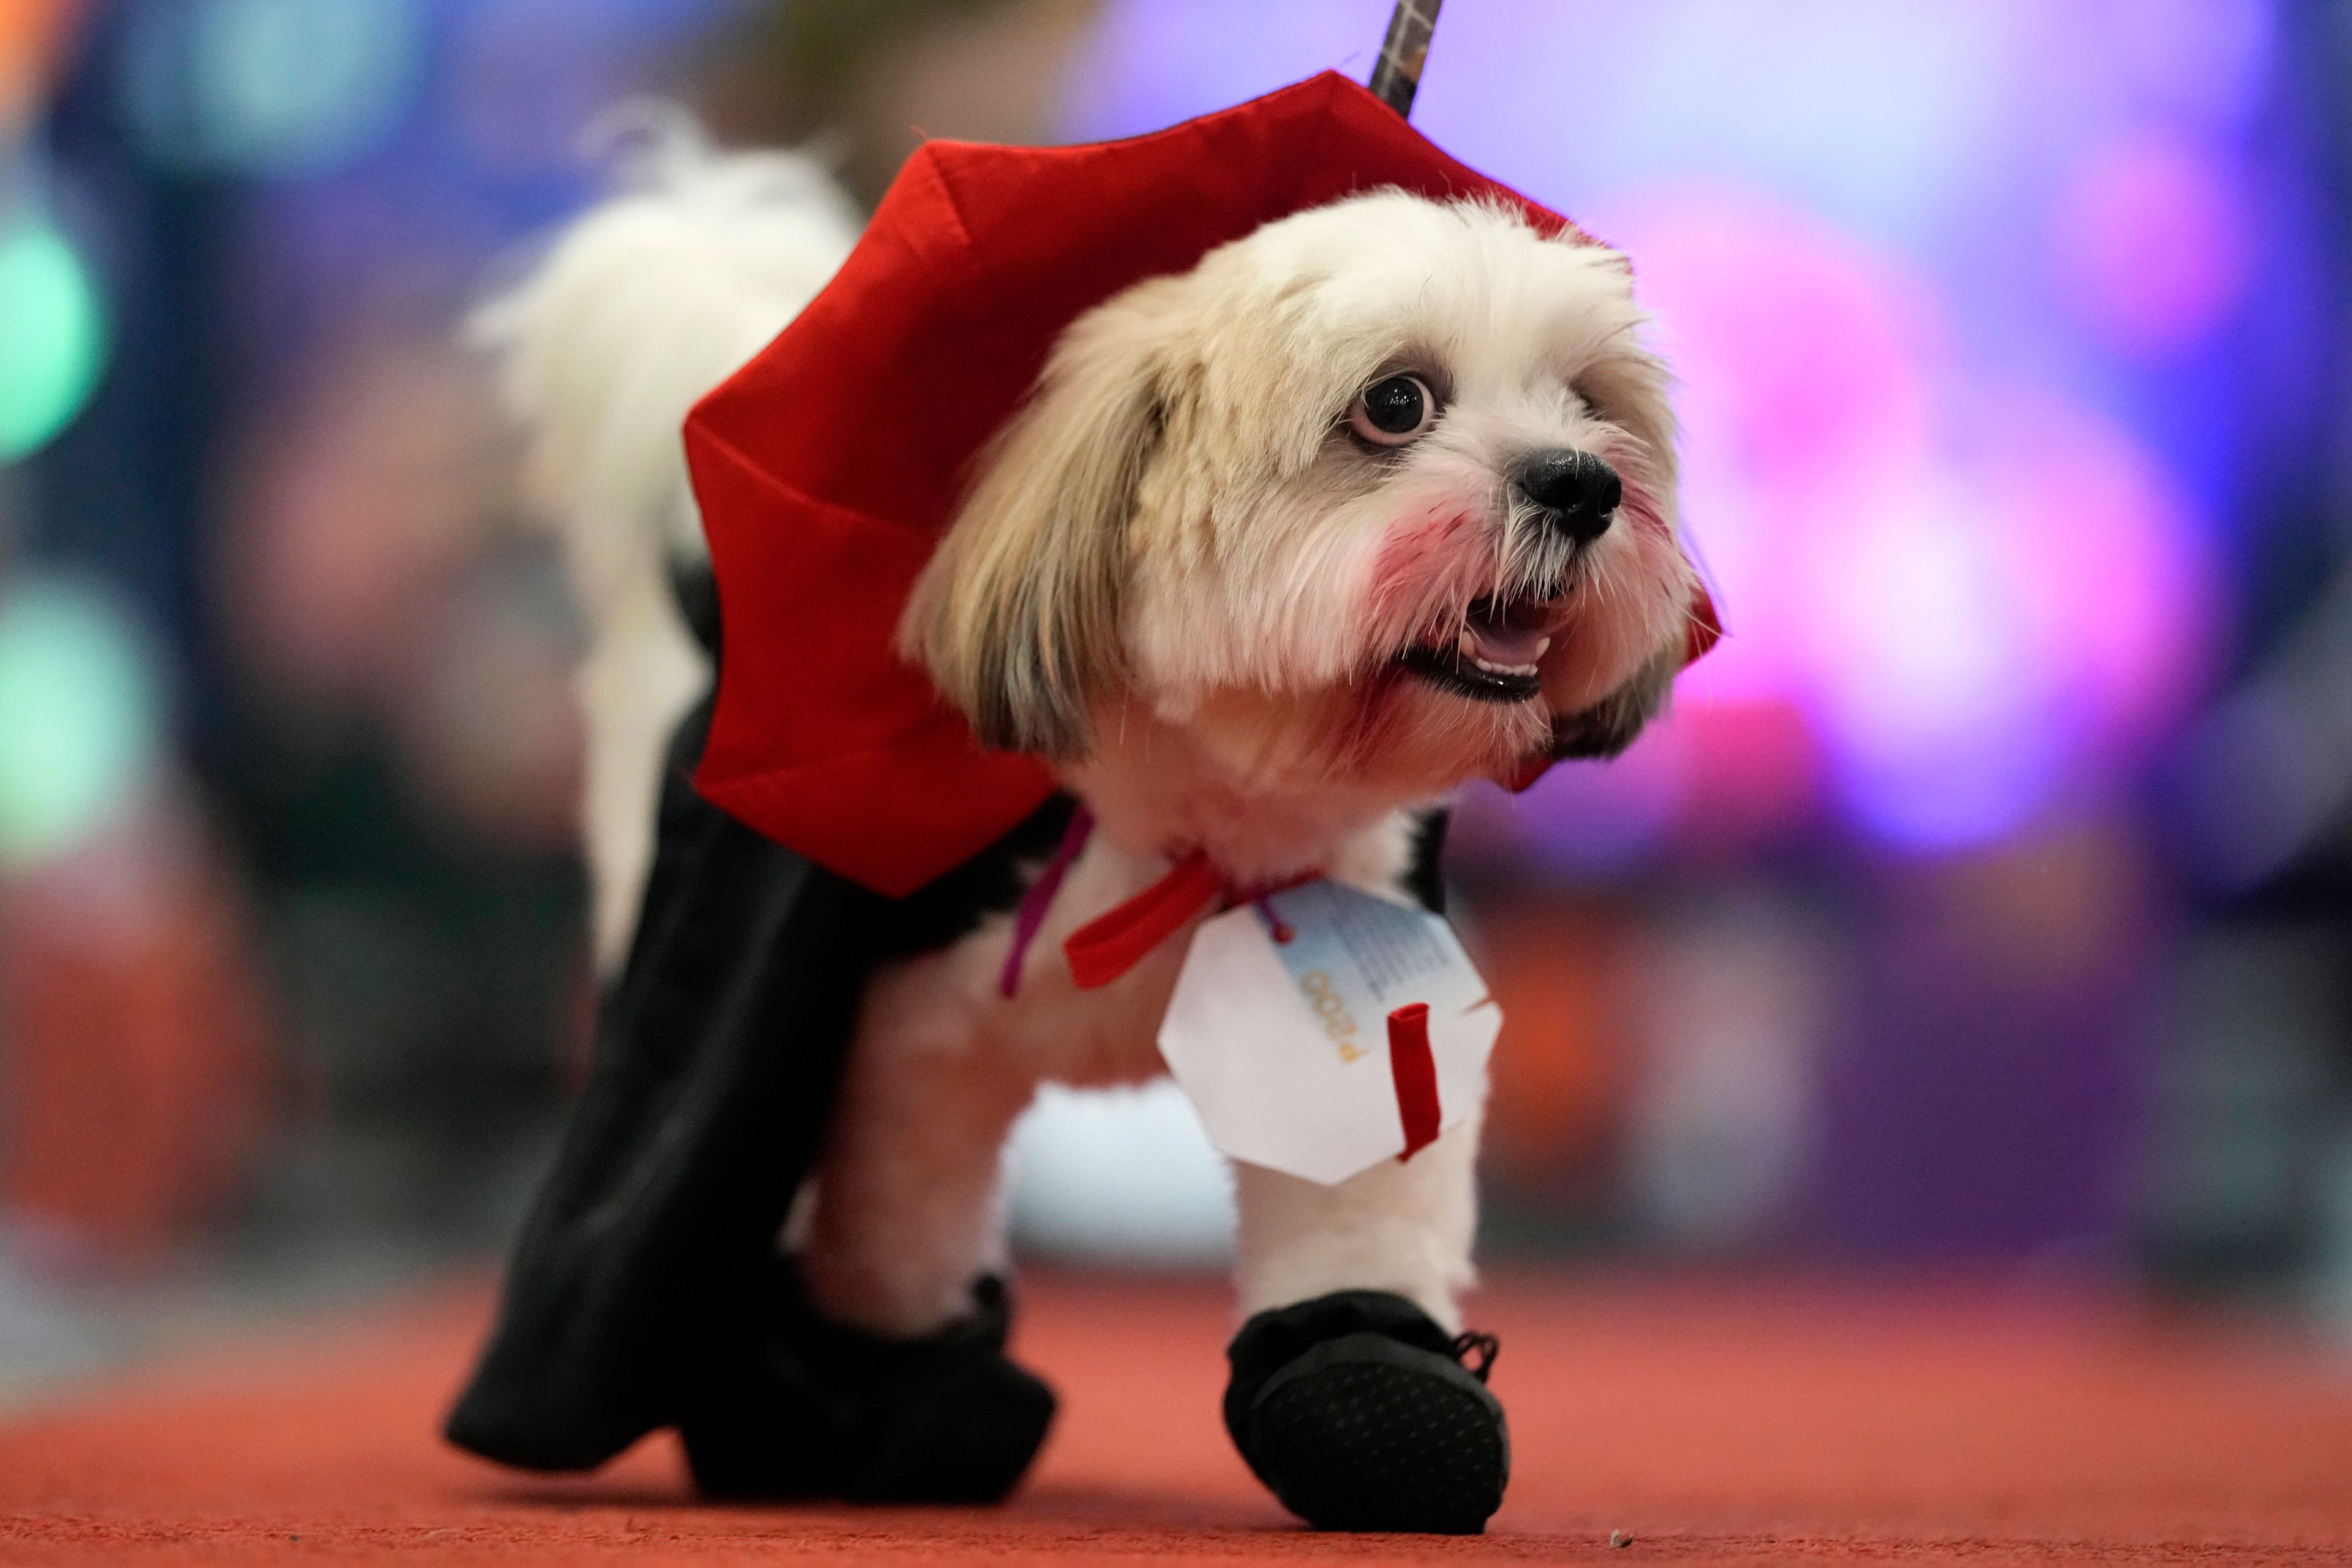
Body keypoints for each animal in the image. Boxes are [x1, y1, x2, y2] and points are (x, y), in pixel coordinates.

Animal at [468, 116, 1703, 1542]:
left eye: (1590, 403)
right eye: (1396, 402)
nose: (1582, 485)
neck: (1196, 821)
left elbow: (1360, 1226)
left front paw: (1379, 1411)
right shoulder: (908, 1056)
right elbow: (893, 1233)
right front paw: (895, 1397)